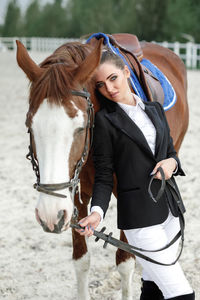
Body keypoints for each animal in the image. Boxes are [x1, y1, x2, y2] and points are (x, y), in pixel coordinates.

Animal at [16, 34, 188, 298]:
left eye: (81, 127)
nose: (49, 214)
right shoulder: (75, 199)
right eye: (29, 125)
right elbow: (81, 261)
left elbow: (126, 263)